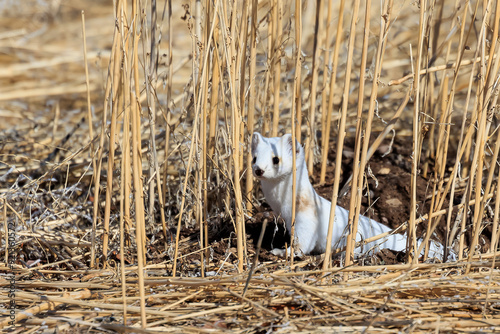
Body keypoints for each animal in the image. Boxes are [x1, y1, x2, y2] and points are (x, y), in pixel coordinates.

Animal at [252, 132, 444, 258]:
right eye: (254, 157)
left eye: (276, 159)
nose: (258, 170)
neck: (282, 205)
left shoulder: (307, 220)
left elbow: (303, 245)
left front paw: (280, 251)